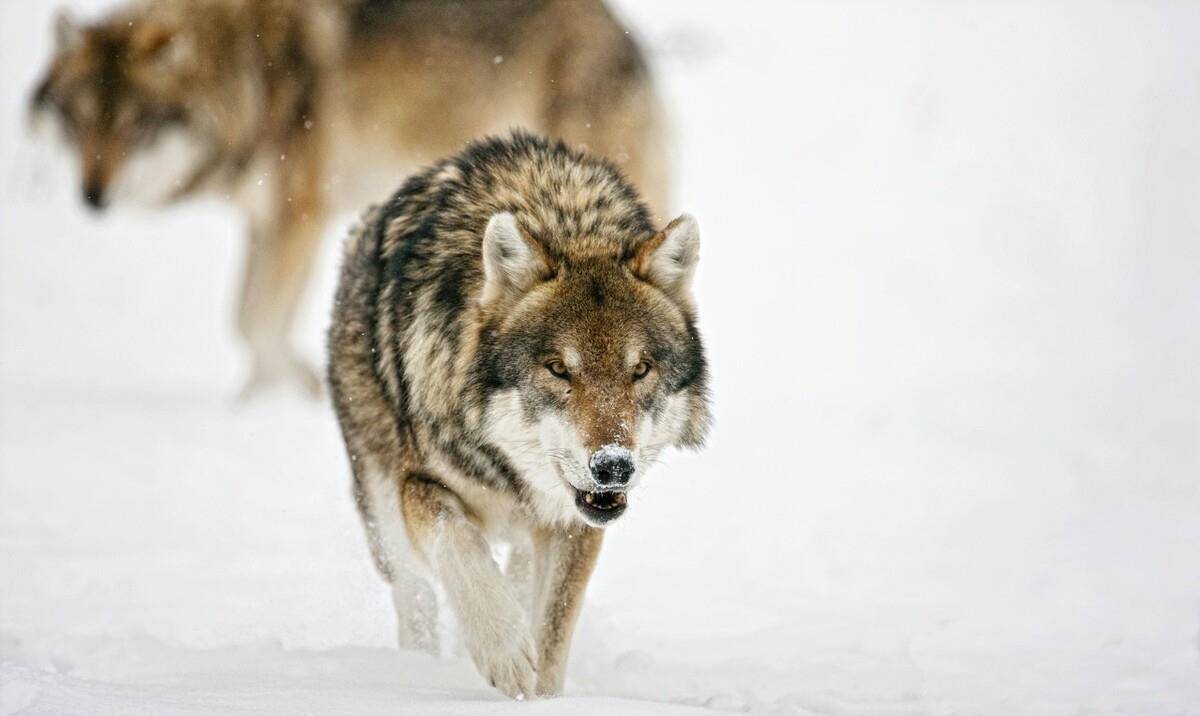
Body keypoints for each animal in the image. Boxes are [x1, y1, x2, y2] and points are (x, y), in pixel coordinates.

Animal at [28, 0, 672, 395]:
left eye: (134, 126)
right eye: (80, 120)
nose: (92, 197)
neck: (243, 73)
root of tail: (625, 35)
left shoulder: (299, 215)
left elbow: (260, 321)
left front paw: (288, 393)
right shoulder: (263, 222)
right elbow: (244, 319)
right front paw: (262, 398)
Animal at [324, 131, 705, 695]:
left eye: (640, 370)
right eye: (558, 369)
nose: (614, 467)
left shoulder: (574, 522)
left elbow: (551, 629)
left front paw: (541, 694)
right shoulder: (418, 486)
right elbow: (461, 547)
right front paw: (504, 655)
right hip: (382, 508)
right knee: (415, 594)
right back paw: (419, 665)